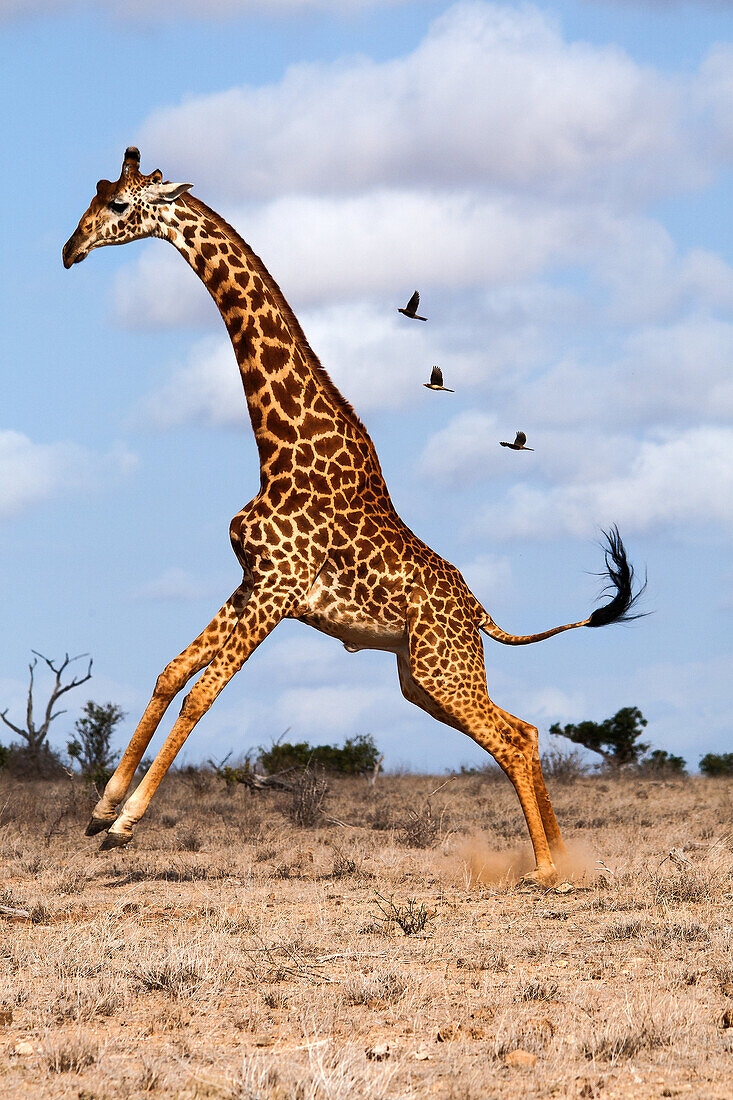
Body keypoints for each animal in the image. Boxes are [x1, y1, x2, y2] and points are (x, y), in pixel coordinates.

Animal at [62, 148, 638, 884]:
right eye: (95, 195)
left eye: (118, 206)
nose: (70, 250)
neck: (280, 448)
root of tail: (479, 612)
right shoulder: (250, 582)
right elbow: (170, 672)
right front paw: (99, 811)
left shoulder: (277, 590)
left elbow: (202, 692)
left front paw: (125, 826)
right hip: (420, 678)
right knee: (525, 730)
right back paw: (557, 861)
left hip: (443, 668)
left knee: (510, 736)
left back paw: (544, 871)